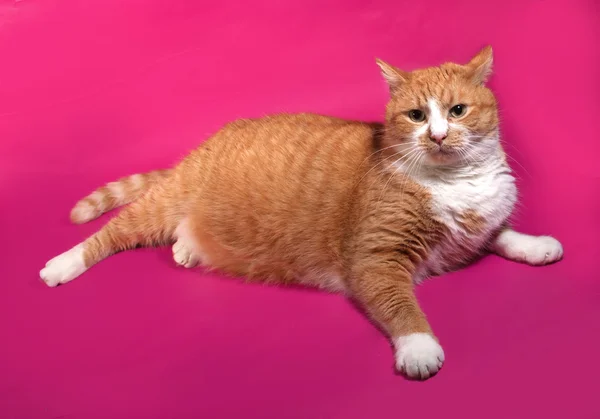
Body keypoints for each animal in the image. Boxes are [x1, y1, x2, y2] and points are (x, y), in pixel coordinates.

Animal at [41, 46, 564, 380]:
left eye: (456, 111)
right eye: (417, 116)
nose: (436, 136)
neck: (455, 183)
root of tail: (203, 145)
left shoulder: (477, 227)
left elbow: (501, 234)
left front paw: (535, 245)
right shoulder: (375, 258)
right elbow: (400, 305)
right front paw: (419, 346)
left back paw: (187, 250)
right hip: (162, 203)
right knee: (109, 234)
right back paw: (62, 265)